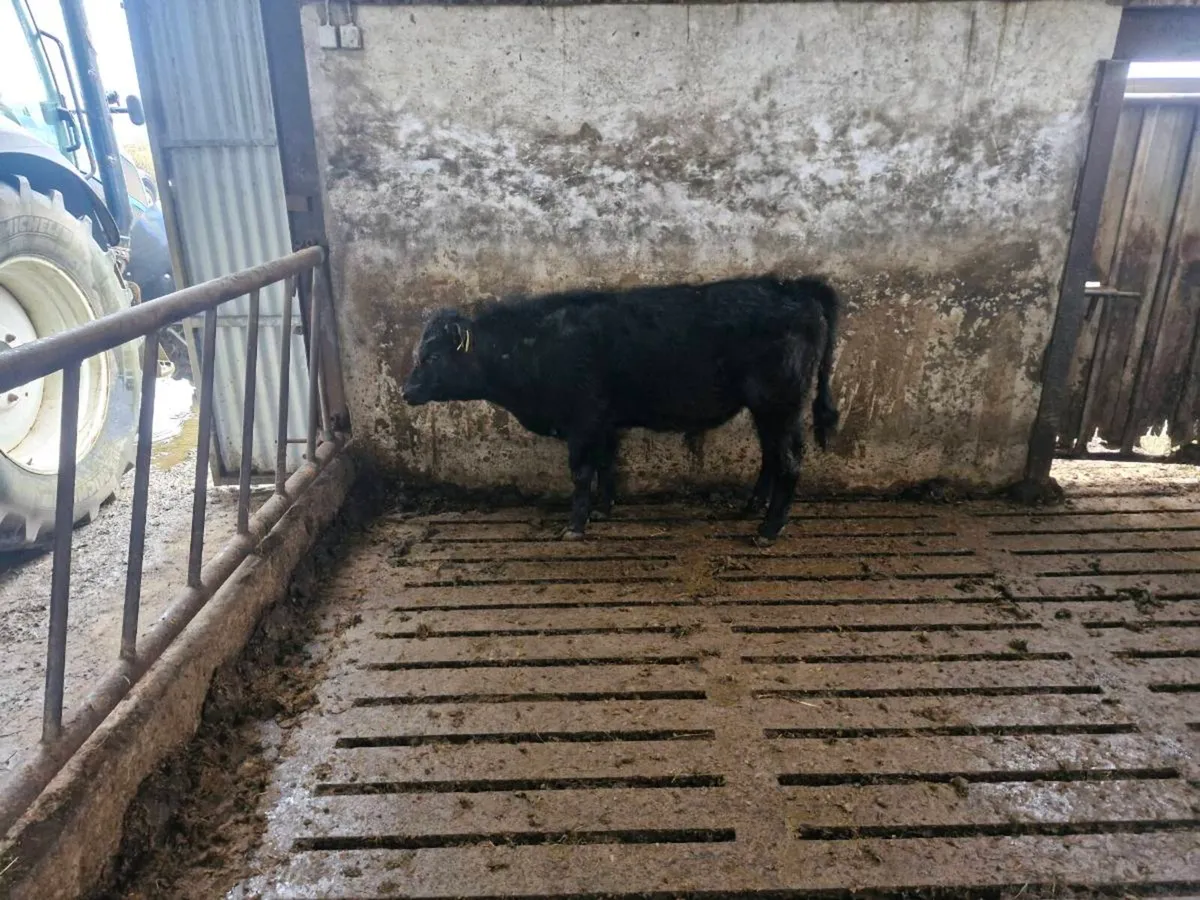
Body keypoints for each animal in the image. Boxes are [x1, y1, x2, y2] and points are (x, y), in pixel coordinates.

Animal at [401, 275, 840, 542]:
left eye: (431, 356)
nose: (406, 390)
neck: (533, 347)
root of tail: (793, 286)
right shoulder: (603, 421)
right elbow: (606, 464)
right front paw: (604, 510)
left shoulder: (581, 420)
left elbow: (581, 473)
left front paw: (575, 526)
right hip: (767, 409)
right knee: (770, 457)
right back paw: (751, 509)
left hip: (779, 404)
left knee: (789, 460)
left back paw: (769, 528)